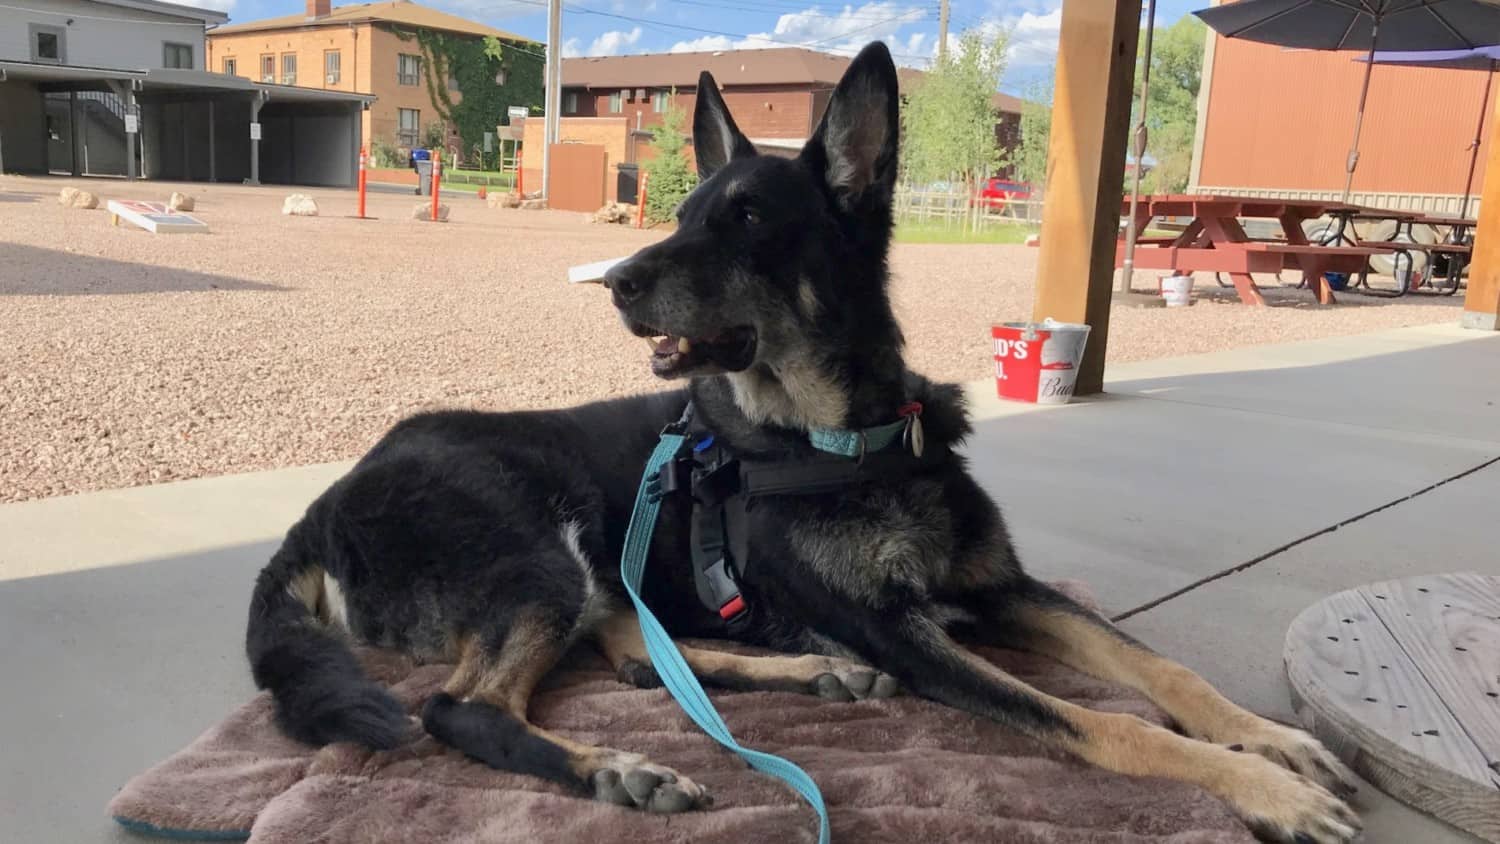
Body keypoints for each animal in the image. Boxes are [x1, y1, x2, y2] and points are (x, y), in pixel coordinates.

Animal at [252, 41, 1368, 844]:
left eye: (746, 219)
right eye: (685, 214)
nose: (615, 282)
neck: (841, 435)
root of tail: (320, 507)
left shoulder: (1002, 588)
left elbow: (1161, 674)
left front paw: (1270, 740)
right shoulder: (899, 630)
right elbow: (1110, 718)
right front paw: (1259, 787)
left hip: (582, 570)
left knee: (633, 654)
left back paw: (804, 678)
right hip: (537, 547)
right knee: (464, 708)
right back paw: (620, 767)